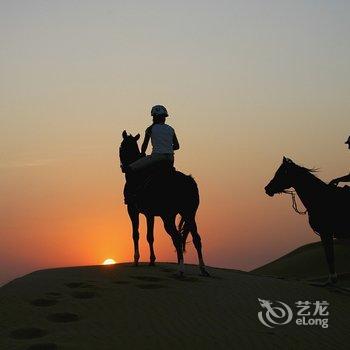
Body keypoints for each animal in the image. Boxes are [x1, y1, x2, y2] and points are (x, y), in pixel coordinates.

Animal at [119, 131, 209, 276]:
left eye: (121, 146)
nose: (123, 167)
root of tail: (188, 181)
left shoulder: (132, 209)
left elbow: (136, 234)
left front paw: (136, 260)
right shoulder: (149, 214)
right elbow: (150, 236)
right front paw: (151, 260)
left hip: (168, 216)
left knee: (177, 238)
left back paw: (181, 269)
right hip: (189, 214)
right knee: (196, 238)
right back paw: (202, 268)